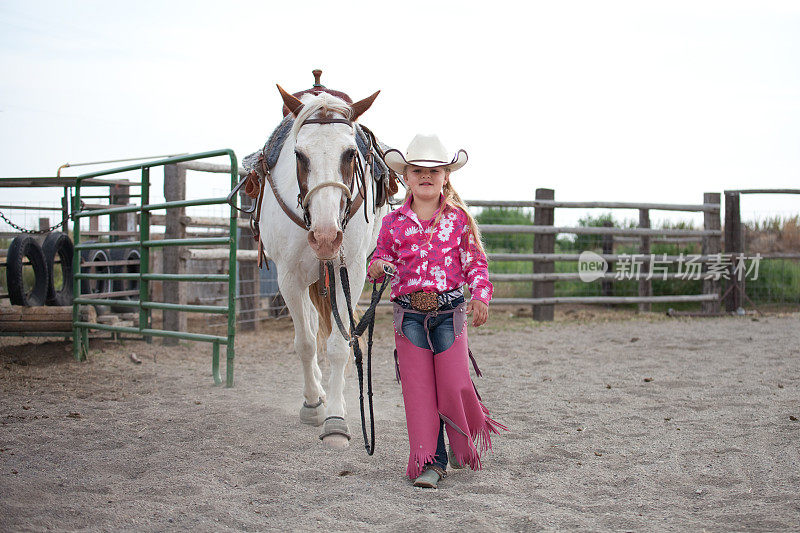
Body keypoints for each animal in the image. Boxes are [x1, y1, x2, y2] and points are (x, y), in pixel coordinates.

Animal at [248, 85, 390, 446]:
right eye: (299, 155)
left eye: (350, 154)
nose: (326, 237)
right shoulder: (289, 277)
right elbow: (306, 343)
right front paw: (313, 404)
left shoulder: (350, 271)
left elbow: (340, 345)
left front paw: (337, 419)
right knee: (310, 328)